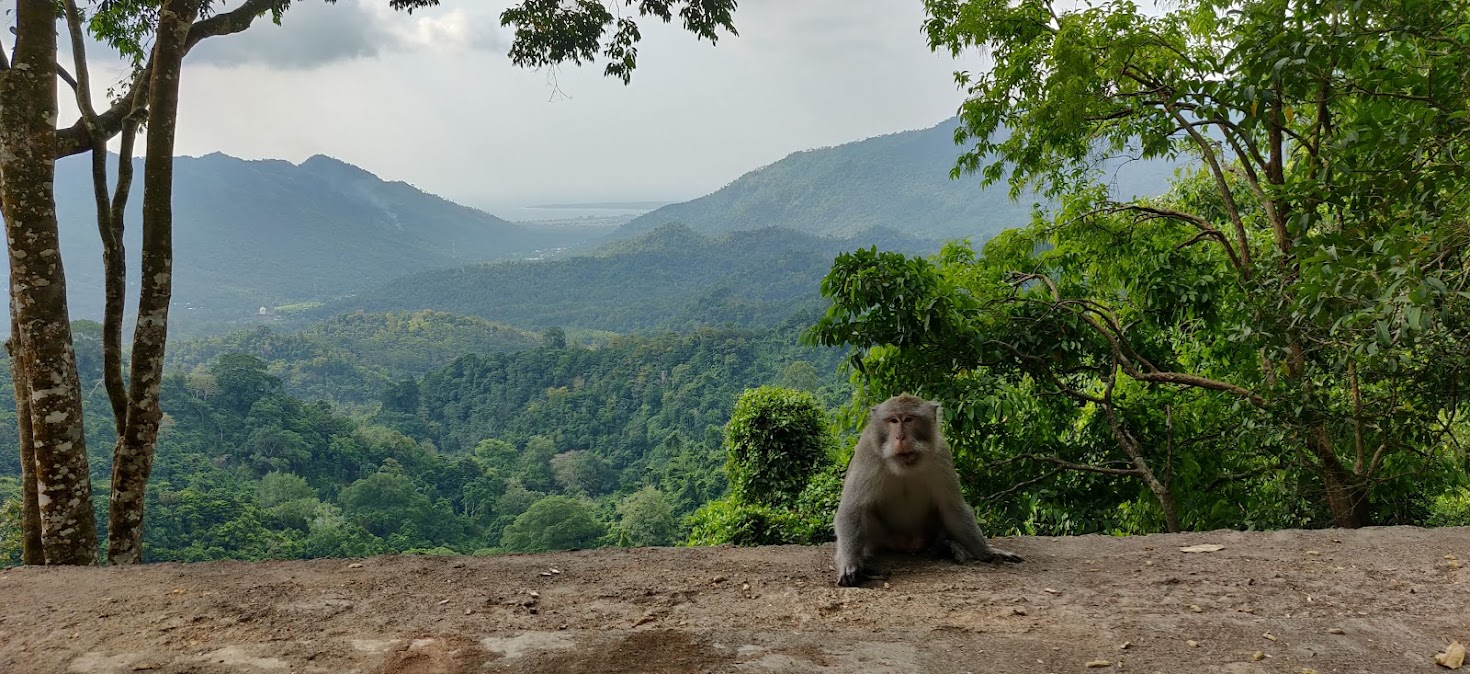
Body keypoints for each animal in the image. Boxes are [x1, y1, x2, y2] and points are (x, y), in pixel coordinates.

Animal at [834, 393, 1017, 587]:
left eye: (908, 419)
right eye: (893, 420)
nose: (900, 437)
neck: (905, 465)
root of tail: (908, 544)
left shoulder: (941, 453)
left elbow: (952, 507)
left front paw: (986, 551)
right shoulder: (868, 452)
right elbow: (853, 507)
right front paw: (849, 562)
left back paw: (947, 546)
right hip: (882, 538)